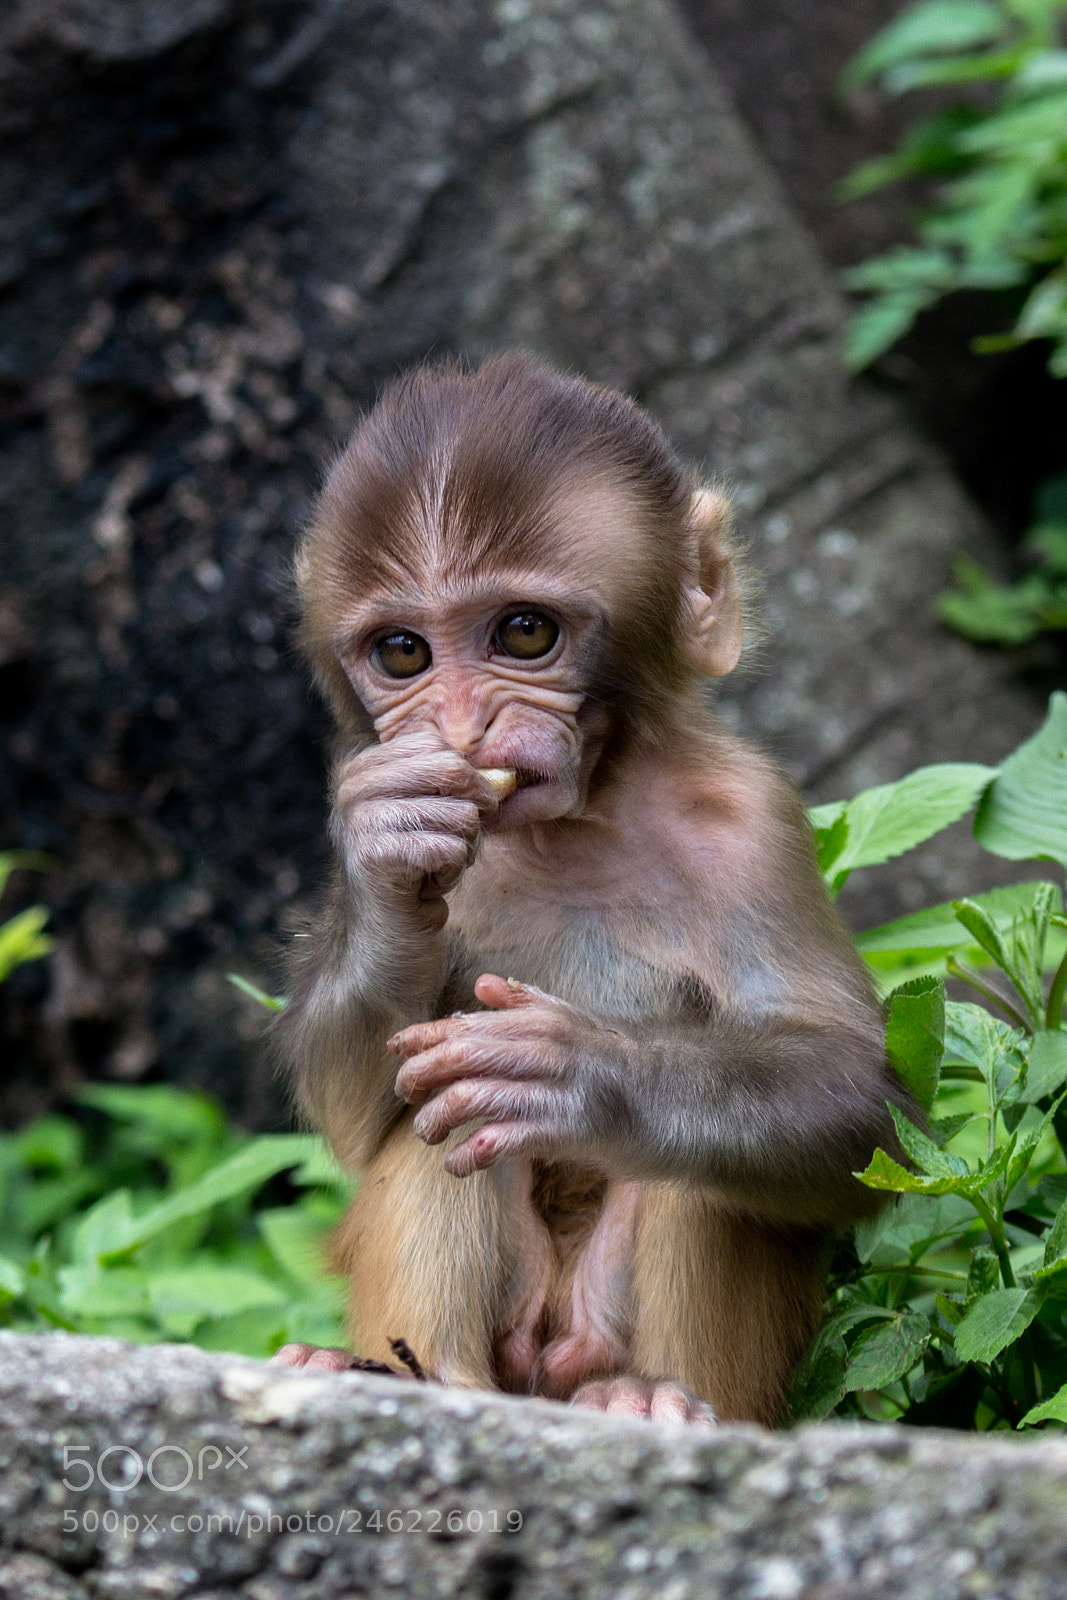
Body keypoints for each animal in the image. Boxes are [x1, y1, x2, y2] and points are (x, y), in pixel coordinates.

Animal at [271, 352, 905, 1427]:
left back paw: (652, 1401)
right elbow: (354, 1111)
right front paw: (386, 852)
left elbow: (855, 1098)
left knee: (704, 1172)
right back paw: (395, 1373)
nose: (465, 733)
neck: (573, 822)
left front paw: (581, 1074)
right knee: (429, 1115)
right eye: (402, 652)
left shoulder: (754, 821)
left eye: (524, 634)